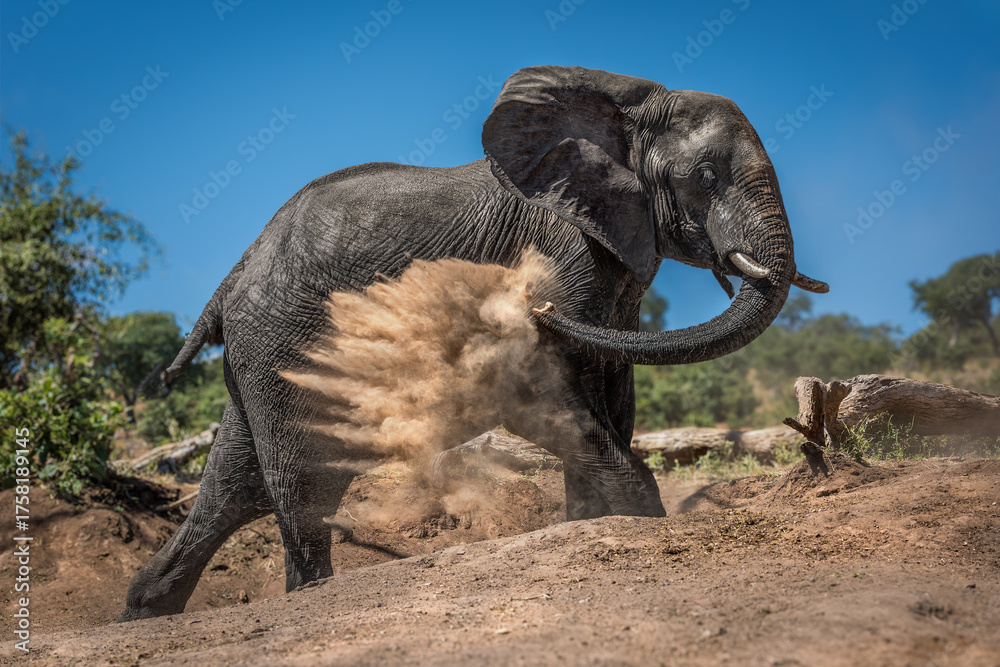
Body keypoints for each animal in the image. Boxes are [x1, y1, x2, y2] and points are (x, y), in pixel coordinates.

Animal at [120, 65, 827, 621]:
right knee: (302, 482)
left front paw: (590, 524)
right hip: (282, 343)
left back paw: (143, 610)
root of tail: (233, 274)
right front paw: (640, 524)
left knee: (234, 487)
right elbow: (539, 395)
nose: (532, 306)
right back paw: (305, 597)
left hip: (262, 355)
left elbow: (610, 398)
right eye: (705, 174)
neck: (624, 107)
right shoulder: (560, 249)